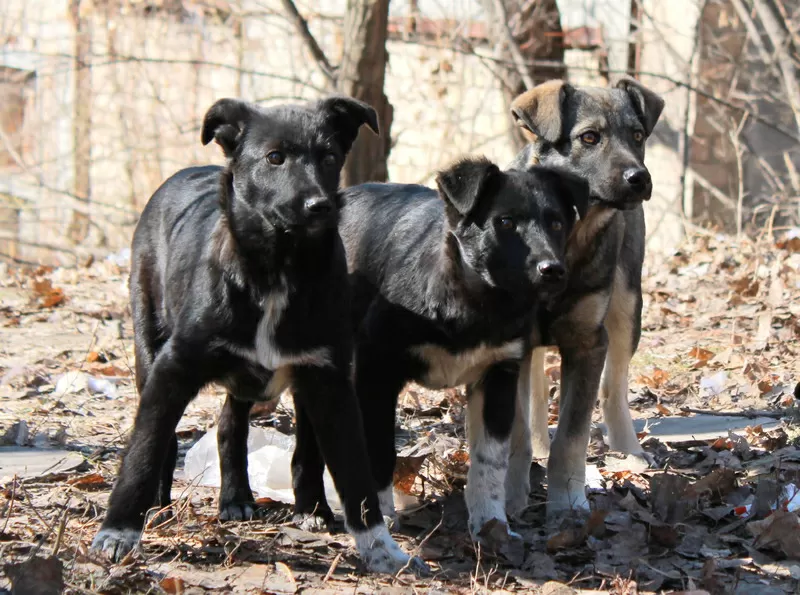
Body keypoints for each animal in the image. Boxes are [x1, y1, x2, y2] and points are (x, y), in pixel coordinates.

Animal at [90, 95, 422, 576]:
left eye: (329, 156)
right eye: (275, 158)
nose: (320, 206)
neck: (278, 270)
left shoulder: (329, 378)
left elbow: (354, 472)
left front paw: (381, 548)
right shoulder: (175, 366)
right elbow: (144, 448)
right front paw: (117, 532)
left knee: (239, 427)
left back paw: (265, 503)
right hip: (147, 341)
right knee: (170, 437)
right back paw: (162, 504)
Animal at [268, 157, 588, 544]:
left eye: (556, 222)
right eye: (505, 222)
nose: (552, 270)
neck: (476, 303)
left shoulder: (499, 375)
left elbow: (490, 460)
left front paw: (491, 524)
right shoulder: (376, 371)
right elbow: (379, 452)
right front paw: (383, 519)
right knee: (309, 445)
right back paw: (311, 511)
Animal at [504, 78, 664, 516]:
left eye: (638, 136)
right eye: (589, 137)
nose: (640, 178)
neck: (569, 234)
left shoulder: (588, 341)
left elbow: (572, 436)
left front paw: (568, 500)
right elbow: (516, 432)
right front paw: (511, 496)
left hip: (627, 306)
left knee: (614, 387)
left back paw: (629, 451)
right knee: (538, 387)